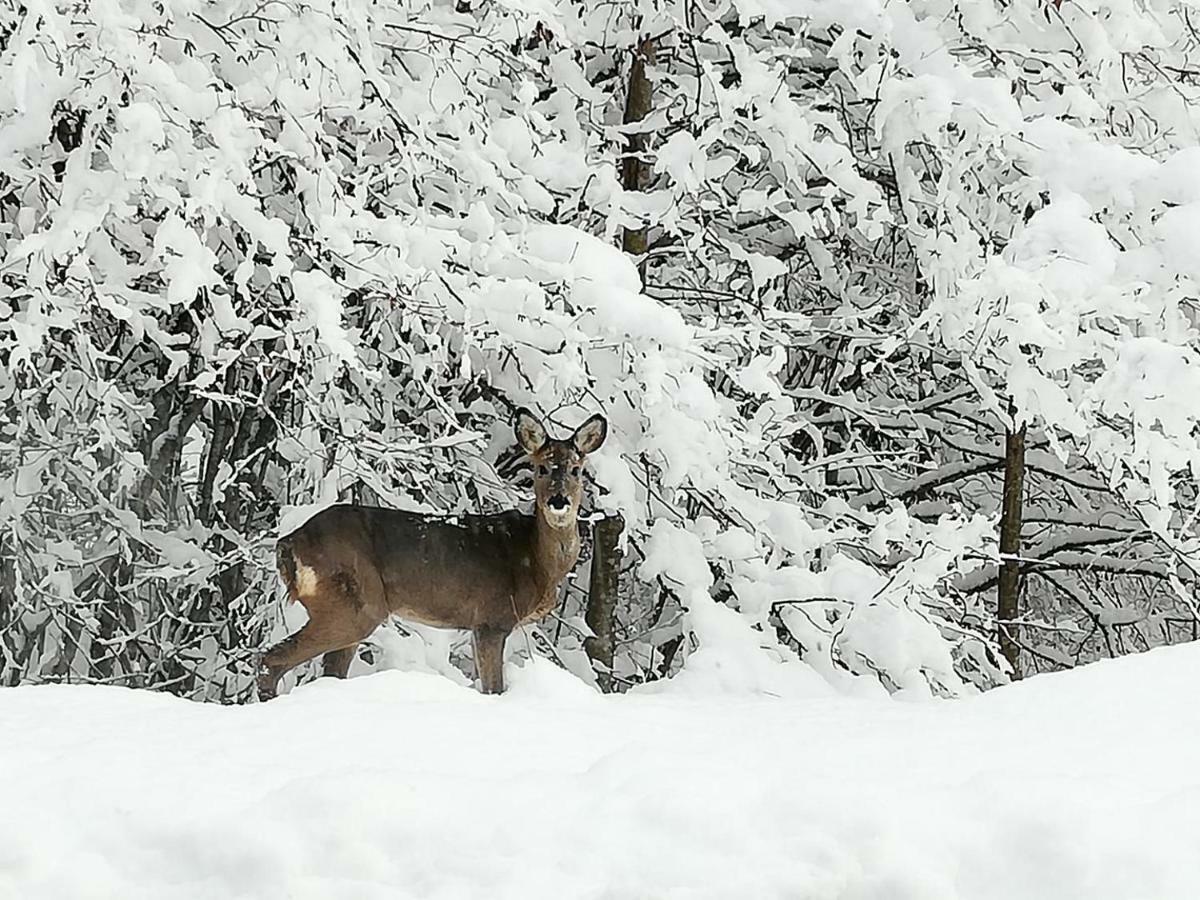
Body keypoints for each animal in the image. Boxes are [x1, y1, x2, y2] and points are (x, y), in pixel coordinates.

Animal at [256, 410, 604, 705]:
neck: (535, 561)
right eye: (541, 468)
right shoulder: (492, 618)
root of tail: (288, 543)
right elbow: (494, 688)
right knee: (271, 658)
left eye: (577, 470)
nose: (558, 501)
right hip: (352, 605)